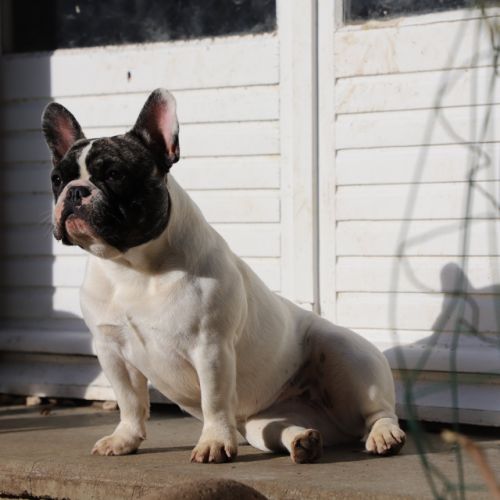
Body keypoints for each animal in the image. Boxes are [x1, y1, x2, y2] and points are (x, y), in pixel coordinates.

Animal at [42, 89, 405, 463]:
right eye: (57, 179)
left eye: (115, 175)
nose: (75, 190)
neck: (131, 267)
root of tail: (338, 425)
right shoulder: (112, 351)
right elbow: (129, 401)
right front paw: (125, 439)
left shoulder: (210, 346)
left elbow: (213, 400)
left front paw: (214, 442)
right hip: (262, 421)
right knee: (278, 428)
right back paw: (303, 441)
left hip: (346, 353)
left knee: (377, 410)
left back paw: (384, 435)